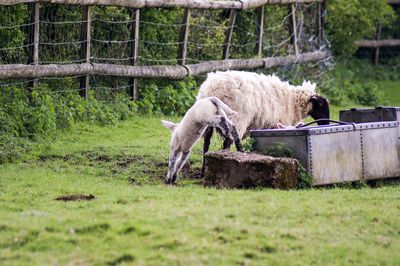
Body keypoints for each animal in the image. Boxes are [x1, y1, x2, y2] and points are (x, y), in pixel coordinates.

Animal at [197, 70, 332, 154]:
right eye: (321, 105)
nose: (325, 123)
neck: (292, 101)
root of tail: (214, 88)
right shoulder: (278, 122)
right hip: (237, 117)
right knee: (229, 141)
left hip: (208, 120)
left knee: (206, 143)